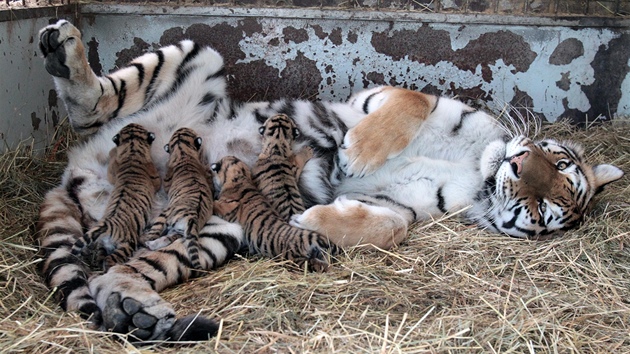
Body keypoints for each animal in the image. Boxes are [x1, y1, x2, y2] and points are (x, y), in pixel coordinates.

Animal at [141, 128, 215, 274]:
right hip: (180, 231)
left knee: (155, 232)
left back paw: (146, 240)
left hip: (165, 215)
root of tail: (192, 218)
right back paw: (152, 244)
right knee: (167, 238)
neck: (183, 150)